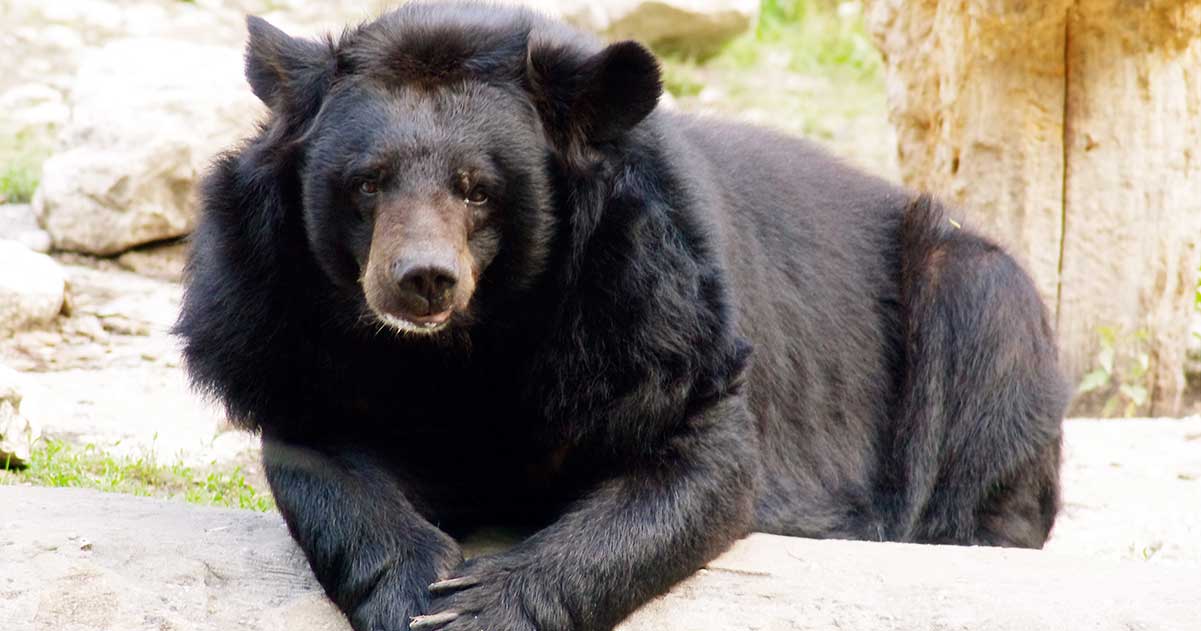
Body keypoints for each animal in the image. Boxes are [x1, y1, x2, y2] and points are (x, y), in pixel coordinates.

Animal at [174, 2, 1066, 624]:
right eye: (365, 184)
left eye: (477, 188)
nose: (421, 281)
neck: (460, 344)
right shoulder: (271, 316)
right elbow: (319, 451)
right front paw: (419, 588)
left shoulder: (653, 314)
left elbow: (691, 464)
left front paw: (482, 607)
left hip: (977, 297)